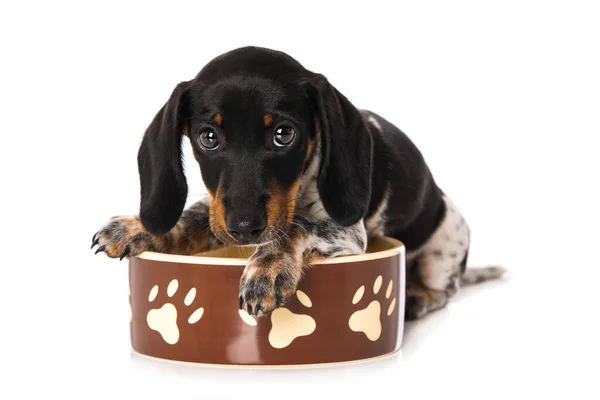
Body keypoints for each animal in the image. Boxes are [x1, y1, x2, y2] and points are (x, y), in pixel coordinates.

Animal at [91, 45, 504, 320]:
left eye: (284, 134)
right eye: (208, 137)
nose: (245, 229)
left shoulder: (345, 232)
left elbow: (294, 228)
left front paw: (268, 269)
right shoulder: (219, 214)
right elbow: (194, 216)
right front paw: (137, 227)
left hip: (444, 243)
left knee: (445, 288)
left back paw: (418, 297)